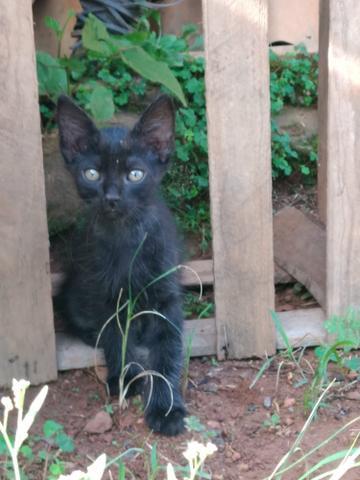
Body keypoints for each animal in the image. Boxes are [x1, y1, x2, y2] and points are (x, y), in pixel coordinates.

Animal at [57, 94, 186, 436]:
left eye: (135, 175)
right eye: (91, 174)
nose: (112, 198)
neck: (126, 238)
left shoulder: (166, 297)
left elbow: (168, 349)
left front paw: (166, 407)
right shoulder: (103, 292)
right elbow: (115, 336)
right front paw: (125, 378)